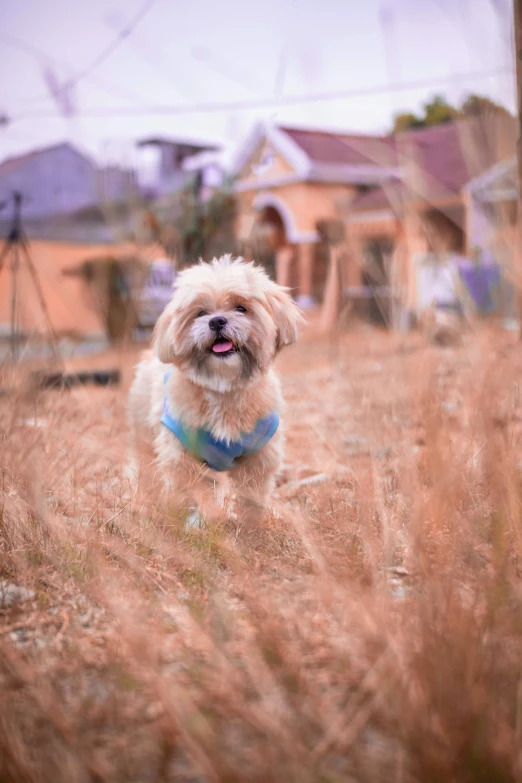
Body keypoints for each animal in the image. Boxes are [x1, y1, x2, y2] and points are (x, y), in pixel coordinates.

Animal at [126, 256, 302, 528]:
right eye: (201, 313)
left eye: (241, 308)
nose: (217, 321)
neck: (224, 389)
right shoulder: (184, 457)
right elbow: (198, 492)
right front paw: (208, 520)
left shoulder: (259, 458)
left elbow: (252, 498)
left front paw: (251, 527)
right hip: (145, 438)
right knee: (147, 474)